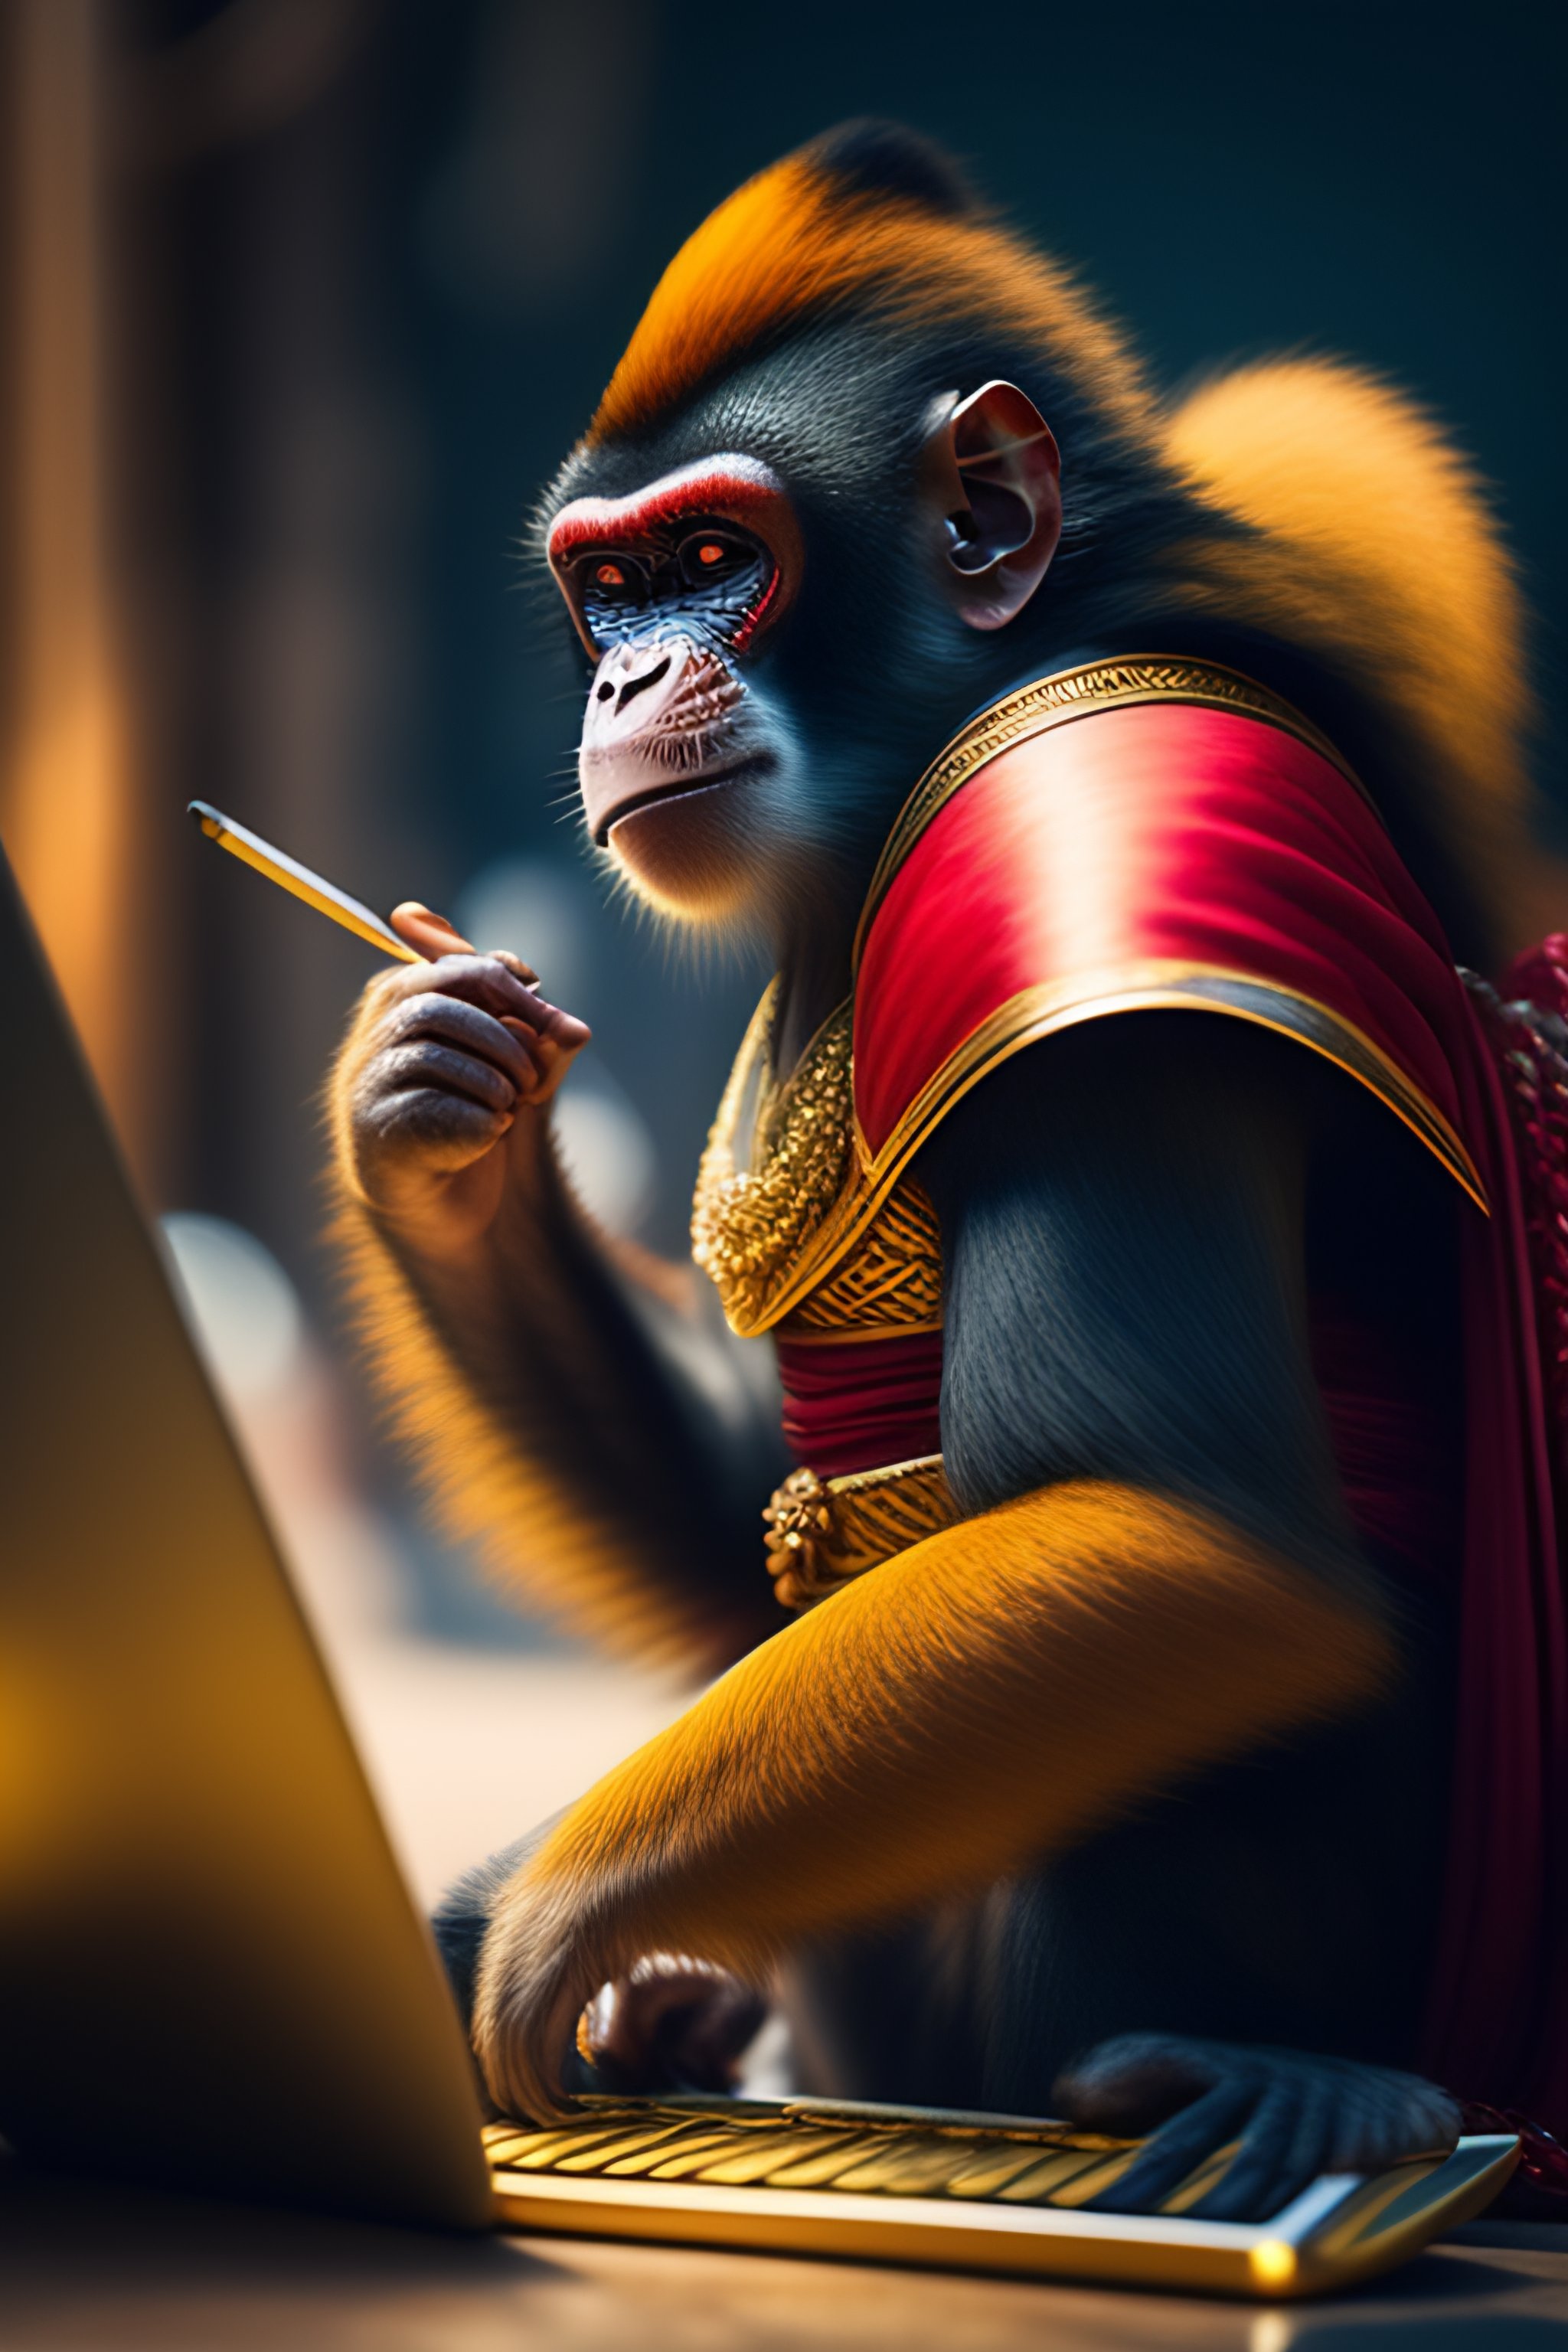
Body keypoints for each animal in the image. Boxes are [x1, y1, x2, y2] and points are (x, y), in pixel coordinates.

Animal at [326, 122, 1566, 2221]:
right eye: (608, 587)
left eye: (717, 562)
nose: (618, 687)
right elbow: (737, 1519)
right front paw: (432, 1092)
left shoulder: (1092, 813)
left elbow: (1184, 1539)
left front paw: (534, 1924)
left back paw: (1286, 2093)